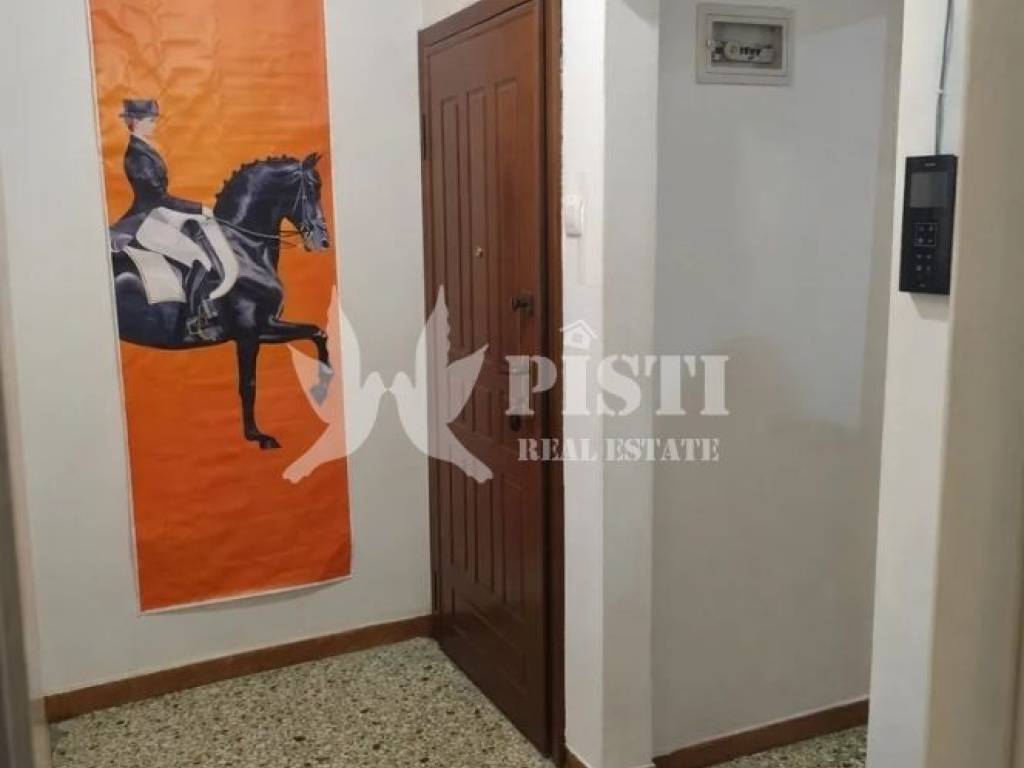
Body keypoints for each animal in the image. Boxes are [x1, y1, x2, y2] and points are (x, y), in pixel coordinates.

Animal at [111, 153, 333, 450]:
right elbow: (248, 384)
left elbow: (318, 333)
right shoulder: (250, 333)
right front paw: (257, 436)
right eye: (311, 189)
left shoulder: (264, 329)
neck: (244, 249)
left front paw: (321, 389)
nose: (322, 240)